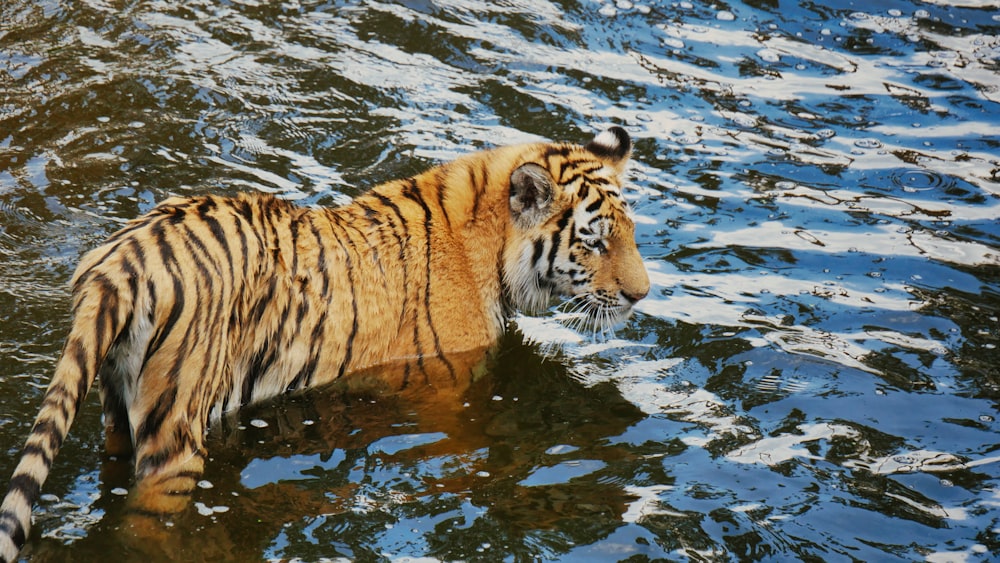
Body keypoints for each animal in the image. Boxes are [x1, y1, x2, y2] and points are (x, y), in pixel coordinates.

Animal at [0, 125, 648, 560]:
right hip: (176, 426)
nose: (642, 295)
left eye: (631, 234)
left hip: (115, 407)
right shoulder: (448, 390)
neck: (488, 246)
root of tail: (121, 262)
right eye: (594, 241)